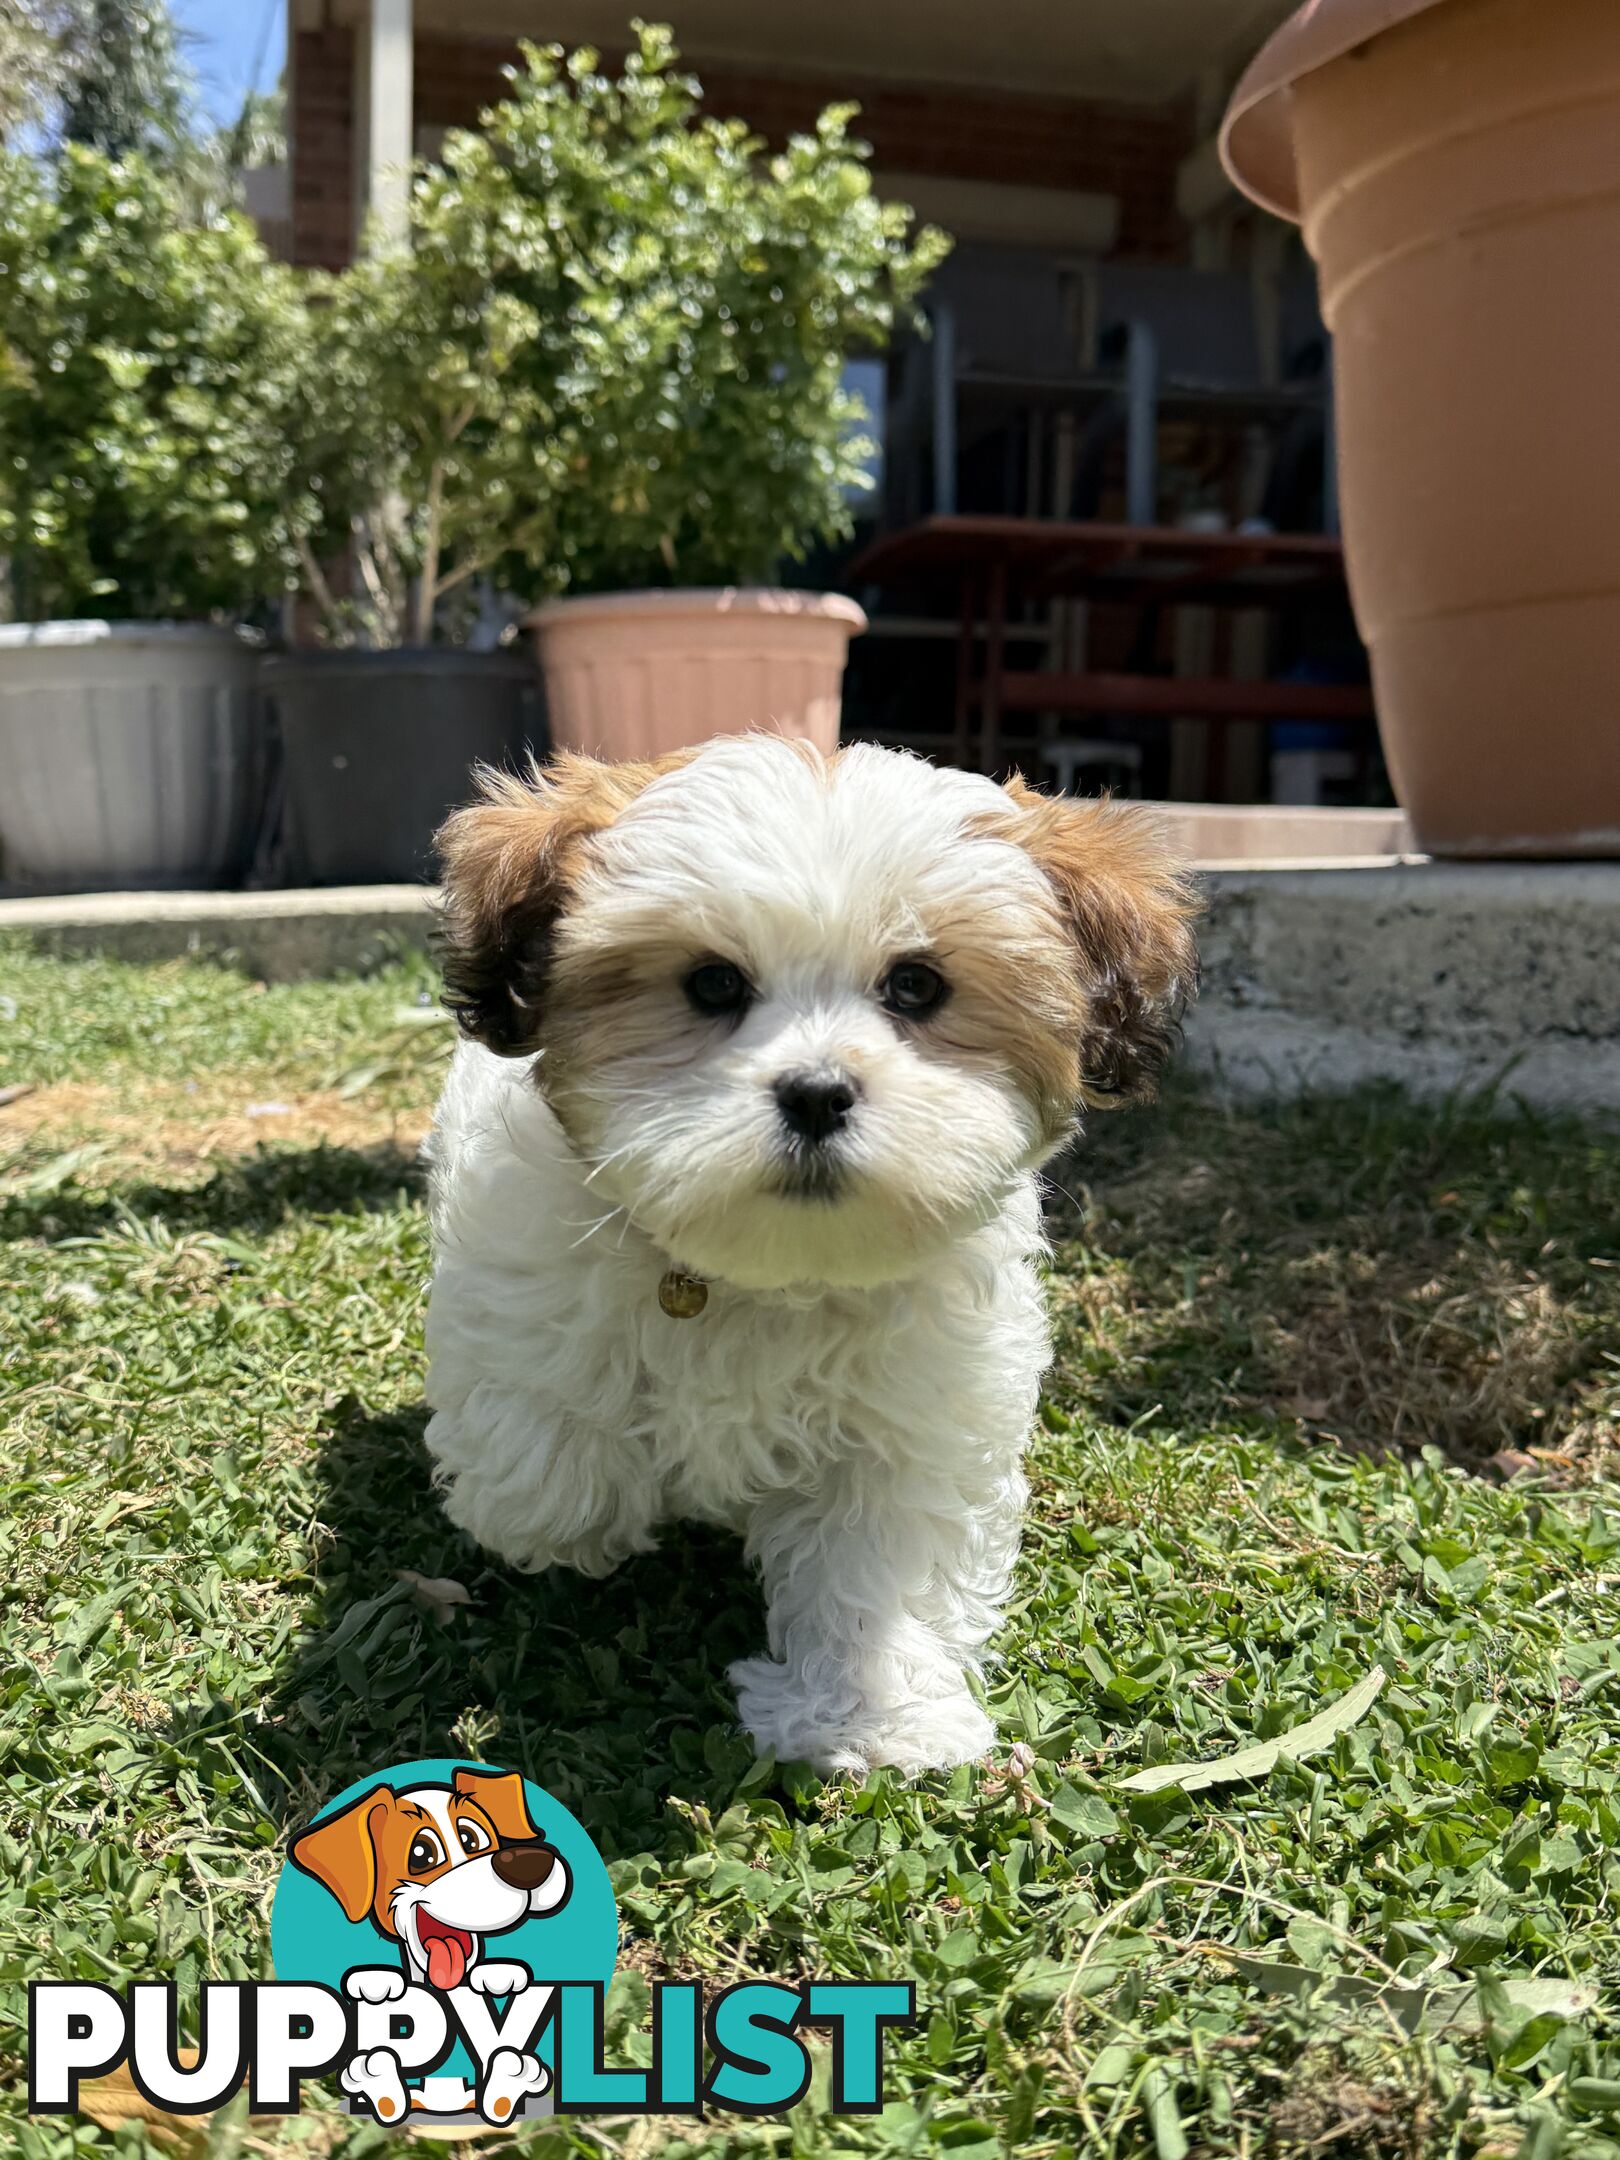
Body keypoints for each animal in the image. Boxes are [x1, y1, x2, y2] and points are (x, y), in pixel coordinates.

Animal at [425, 734, 1200, 1779]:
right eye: (713, 983)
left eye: (917, 986)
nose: (819, 1092)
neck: (770, 1273)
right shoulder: (519, 1277)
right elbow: (544, 1466)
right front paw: (595, 1510)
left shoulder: (916, 1413)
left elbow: (879, 1555)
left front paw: (866, 1711)